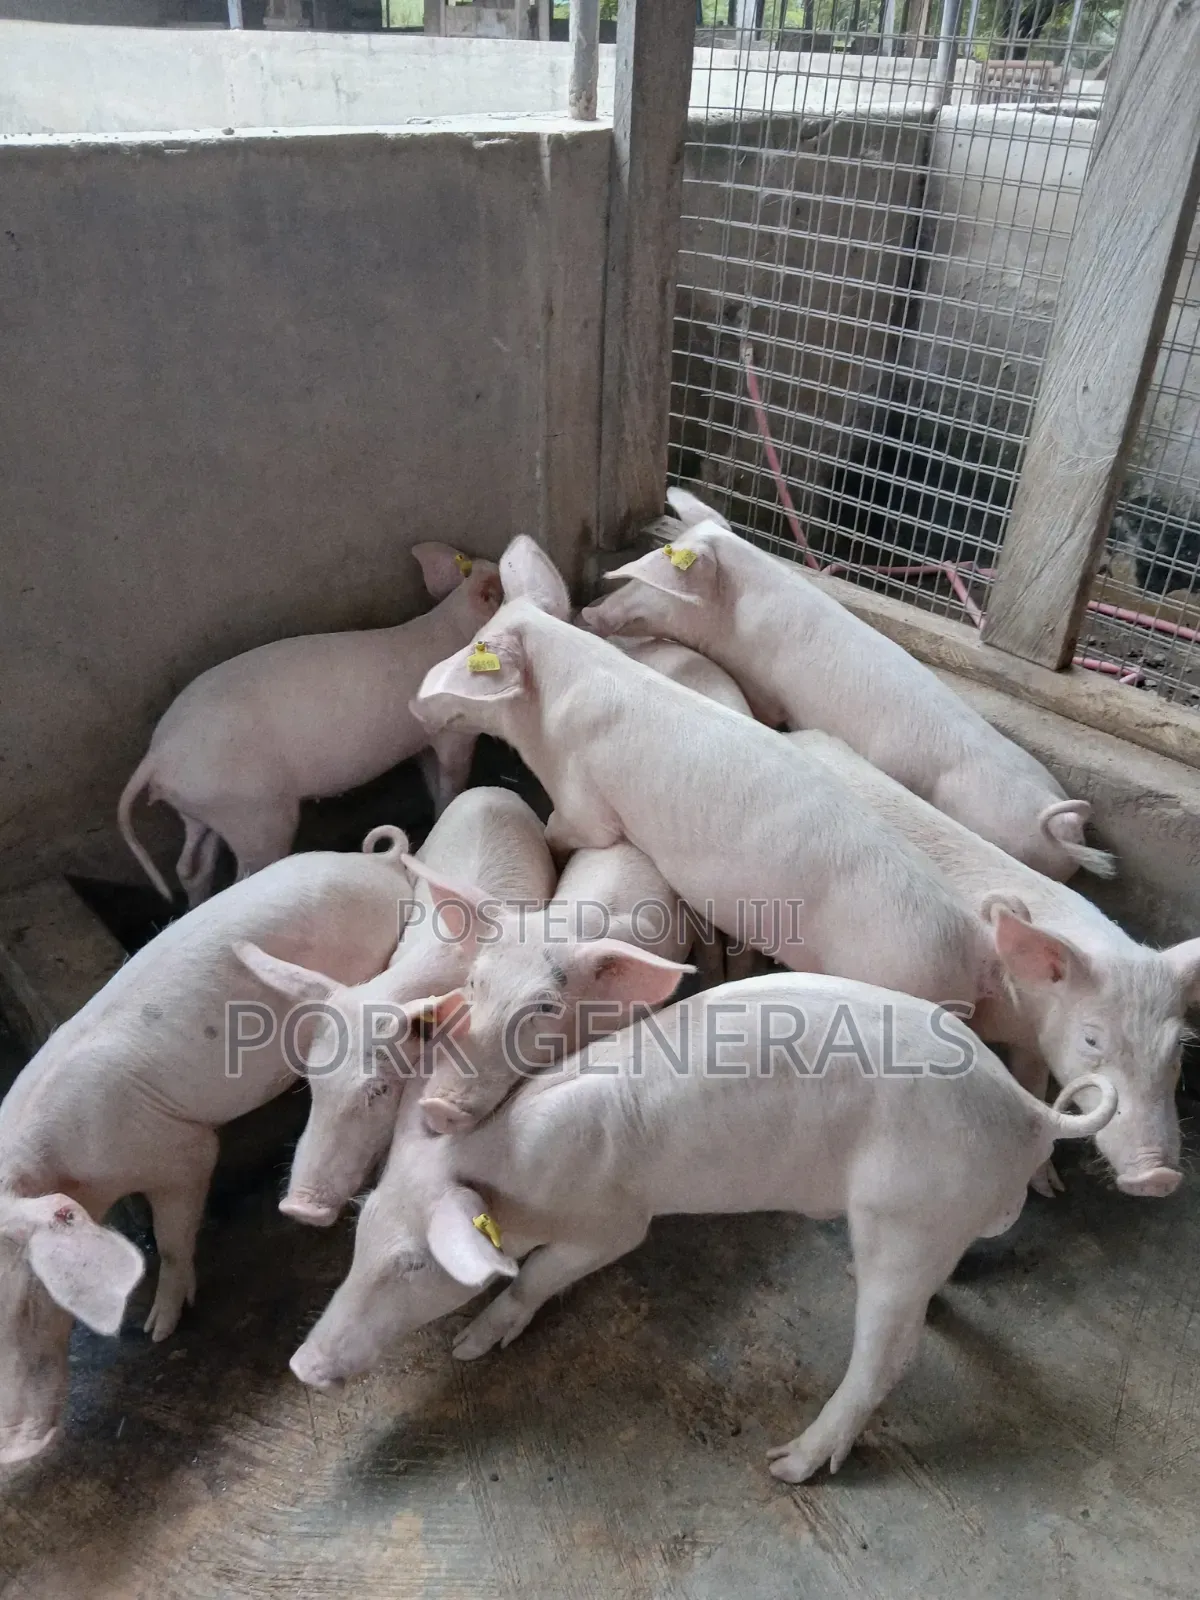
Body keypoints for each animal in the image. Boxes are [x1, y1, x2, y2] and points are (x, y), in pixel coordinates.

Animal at [0, 832, 412, 1465]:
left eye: (31, 1298)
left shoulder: (181, 1149)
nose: (15, 1450)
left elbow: (171, 1239)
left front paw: (158, 1329)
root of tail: (380, 863)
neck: (71, 1176)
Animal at [119, 543, 503, 905]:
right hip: (254, 814)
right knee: (243, 873)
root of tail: (157, 755)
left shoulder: (422, 743)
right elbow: (452, 781)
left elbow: (433, 781)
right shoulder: (455, 732)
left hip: (201, 808)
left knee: (190, 867)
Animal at [289, 972, 1116, 1484]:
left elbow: (538, 1278)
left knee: (886, 1355)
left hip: (906, 1211)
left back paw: (787, 1466)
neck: (515, 1177)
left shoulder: (617, 1223)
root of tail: (1028, 1113)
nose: (302, 1365)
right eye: (359, 1240)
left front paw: (468, 1345)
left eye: (411, 1264)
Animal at [579, 488, 1114, 883]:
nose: (589, 611)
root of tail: (1061, 823)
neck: (737, 615)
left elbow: (767, 710)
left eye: (655, 579)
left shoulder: (764, 685)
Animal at [794, 729, 1197, 1199]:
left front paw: (1051, 1189)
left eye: (1178, 1044)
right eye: (1092, 1039)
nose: (1159, 1177)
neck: (1017, 1015)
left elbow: (1035, 1085)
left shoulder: (1033, 1043)